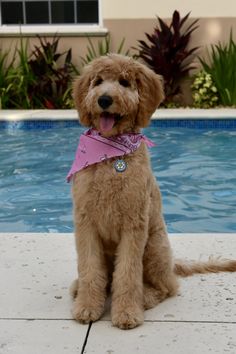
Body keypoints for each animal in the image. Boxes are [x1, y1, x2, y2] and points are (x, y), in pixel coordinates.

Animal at [69, 54, 236, 330]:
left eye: (124, 82)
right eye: (98, 81)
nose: (104, 100)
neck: (109, 154)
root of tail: (172, 264)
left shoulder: (134, 223)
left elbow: (127, 273)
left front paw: (126, 313)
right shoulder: (86, 222)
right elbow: (90, 269)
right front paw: (87, 307)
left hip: (154, 247)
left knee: (168, 286)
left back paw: (145, 297)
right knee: (106, 277)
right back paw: (78, 287)